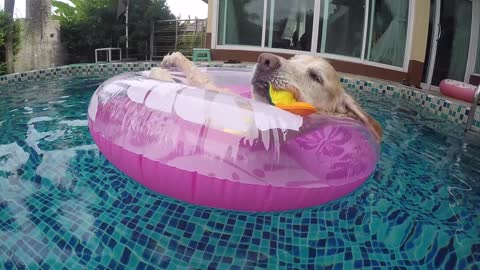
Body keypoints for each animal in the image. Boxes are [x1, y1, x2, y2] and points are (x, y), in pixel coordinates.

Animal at [151, 51, 382, 142]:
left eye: (315, 76)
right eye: (293, 59)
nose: (265, 60)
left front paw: (160, 76)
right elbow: (201, 79)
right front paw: (173, 60)